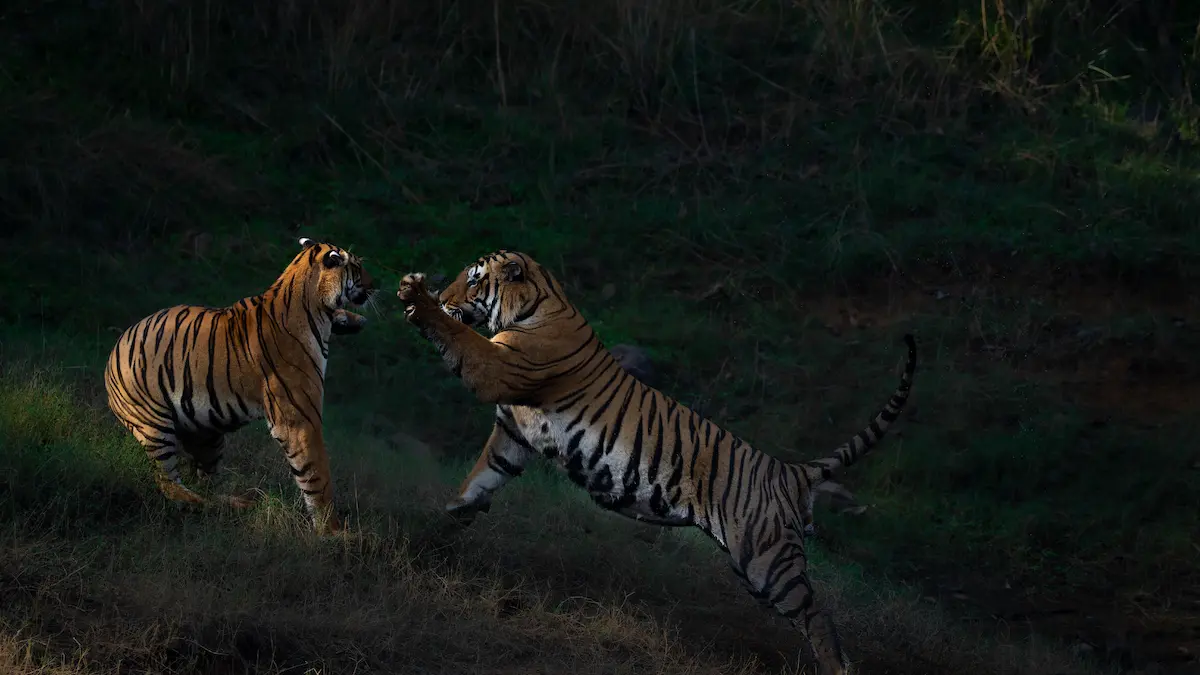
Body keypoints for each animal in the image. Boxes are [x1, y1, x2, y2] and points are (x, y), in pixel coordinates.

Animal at [104, 237, 375, 534]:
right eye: (358, 267)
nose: (375, 284)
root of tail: (114, 351)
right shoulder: (299, 419)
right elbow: (317, 474)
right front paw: (333, 532)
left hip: (207, 433)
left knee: (205, 481)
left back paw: (236, 503)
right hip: (154, 427)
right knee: (169, 484)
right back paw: (200, 504)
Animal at [396, 251, 916, 675]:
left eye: (473, 280)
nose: (443, 294)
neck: (537, 302)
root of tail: (788, 470)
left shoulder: (496, 369)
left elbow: (458, 338)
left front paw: (417, 297)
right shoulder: (514, 432)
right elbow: (484, 475)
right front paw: (455, 515)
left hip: (766, 562)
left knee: (818, 617)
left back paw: (836, 668)